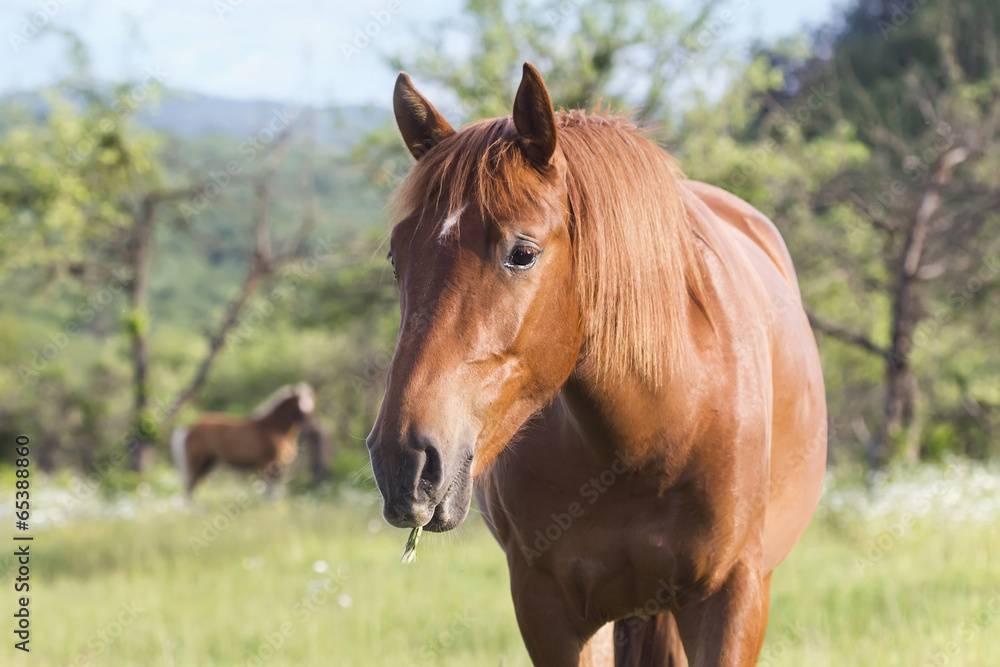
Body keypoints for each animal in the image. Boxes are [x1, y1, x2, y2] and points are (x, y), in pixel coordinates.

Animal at [174, 384, 316, 498]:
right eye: (298, 405)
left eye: (312, 404)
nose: (310, 428)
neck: (274, 429)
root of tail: (189, 427)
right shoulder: (266, 464)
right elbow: (268, 492)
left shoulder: (282, 466)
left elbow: (276, 491)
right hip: (198, 462)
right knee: (188, 488)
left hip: (208, 462)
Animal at [368, 64, 828, 667]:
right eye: (396, 256)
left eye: (522, 253)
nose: (404, 461)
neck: (651, 434)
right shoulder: (549, 609)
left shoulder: (733, 598)